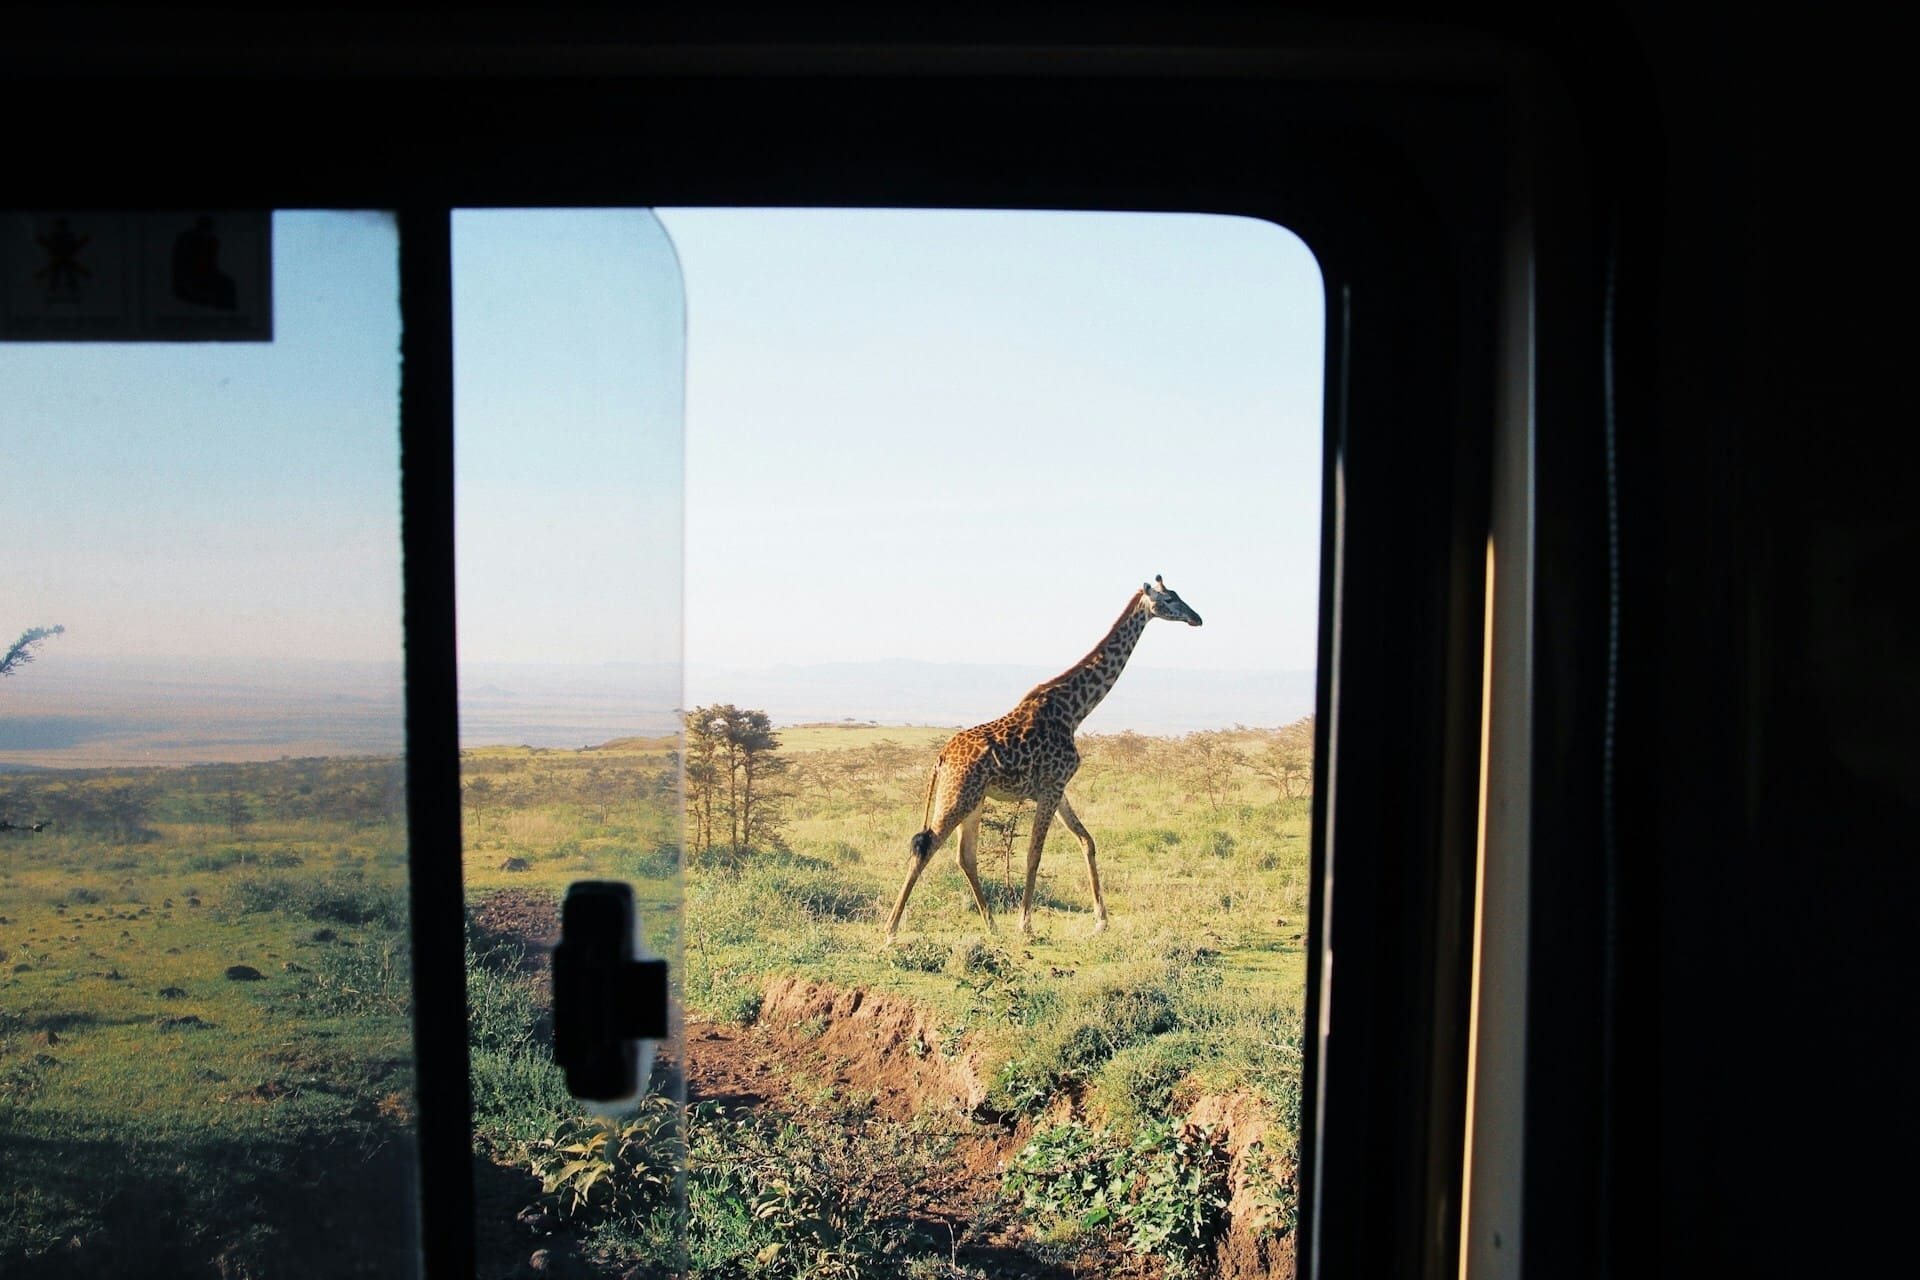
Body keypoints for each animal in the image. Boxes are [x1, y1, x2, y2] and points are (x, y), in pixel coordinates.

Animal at [884, 576, 1203, 943]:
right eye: (1170, 599)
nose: (1197, 618)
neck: (1074, 710)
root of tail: (941, 757)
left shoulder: (1057, 788)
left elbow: (1087, 841)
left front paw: (1101, 920)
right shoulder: (1051, 787)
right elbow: (1034, 854)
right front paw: (1026, 924)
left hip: (974, 799)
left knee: (965, 857)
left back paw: (991, 924)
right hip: (958, 796)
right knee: (926, 847)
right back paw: (891, 929)